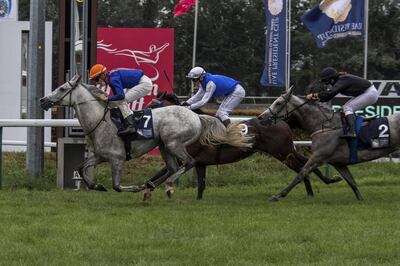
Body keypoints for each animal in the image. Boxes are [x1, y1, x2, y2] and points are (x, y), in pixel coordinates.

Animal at [142, 92, 342, 198]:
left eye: (154, 103)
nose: (141, 115)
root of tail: (281, 121)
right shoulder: (198, 162)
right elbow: (196, 185)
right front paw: (146, 187)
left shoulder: (191, 159)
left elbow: (168, 174)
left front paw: (150, 189)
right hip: (285, 150)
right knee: (305, 161)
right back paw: (322, 184)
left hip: (281, 152)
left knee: (302, 166)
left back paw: (311, 189)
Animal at [258, 87, 400, 202]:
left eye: (278, 103)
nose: (260, 117)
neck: (325, 126)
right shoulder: (338, 163)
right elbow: (352, 182)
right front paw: (360, 199)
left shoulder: (318, 157)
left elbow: (301, 174)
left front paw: (277, 196)